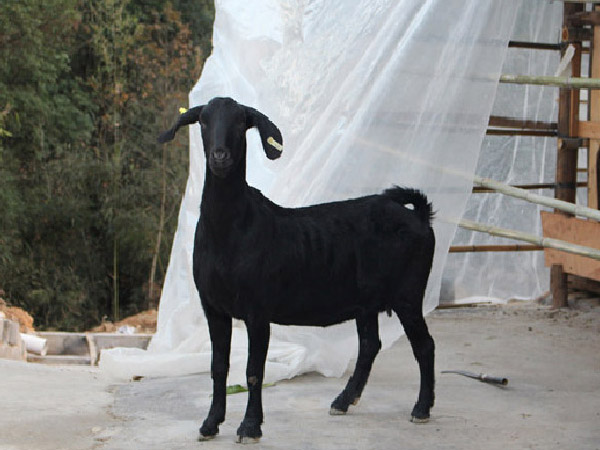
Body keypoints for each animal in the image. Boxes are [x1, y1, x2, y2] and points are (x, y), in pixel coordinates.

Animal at [158, 97, 436, 444]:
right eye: (204, 122)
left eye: (240, 122)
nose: (220, 156)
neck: (231, 229)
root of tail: (418, 217)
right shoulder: (213, 307)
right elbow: (218, 366)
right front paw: (210, 424)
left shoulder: (257, 309)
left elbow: (253, 371)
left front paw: (250, 427)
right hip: (366, 300)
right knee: (370, 345)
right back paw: (343, 401)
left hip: (408, 292)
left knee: (424, 345)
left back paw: (421, 409)